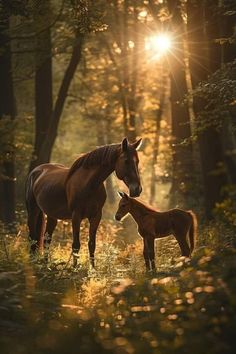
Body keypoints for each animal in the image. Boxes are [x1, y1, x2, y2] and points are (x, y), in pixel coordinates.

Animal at [25, 138, 142, 266]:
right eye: (126, 161)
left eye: (137, 162)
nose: (137, 189)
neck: (89, 184)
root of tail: (36, 171)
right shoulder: (76, 216)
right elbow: (76, 245)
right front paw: (74, 268)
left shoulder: (96, 216)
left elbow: (92, 244)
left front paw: (92, 268)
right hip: (33, 211)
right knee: (32, 237)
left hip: (52, 216)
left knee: (47, 239)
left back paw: (45, 264)